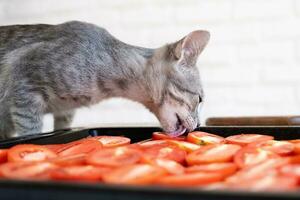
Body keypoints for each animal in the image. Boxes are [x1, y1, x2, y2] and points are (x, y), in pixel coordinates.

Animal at [0, 21, 210, 138]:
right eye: (199, 99)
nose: (199, 125)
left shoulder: (65, 112)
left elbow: (62, 127)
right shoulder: (25, 84)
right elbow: (30, 130)